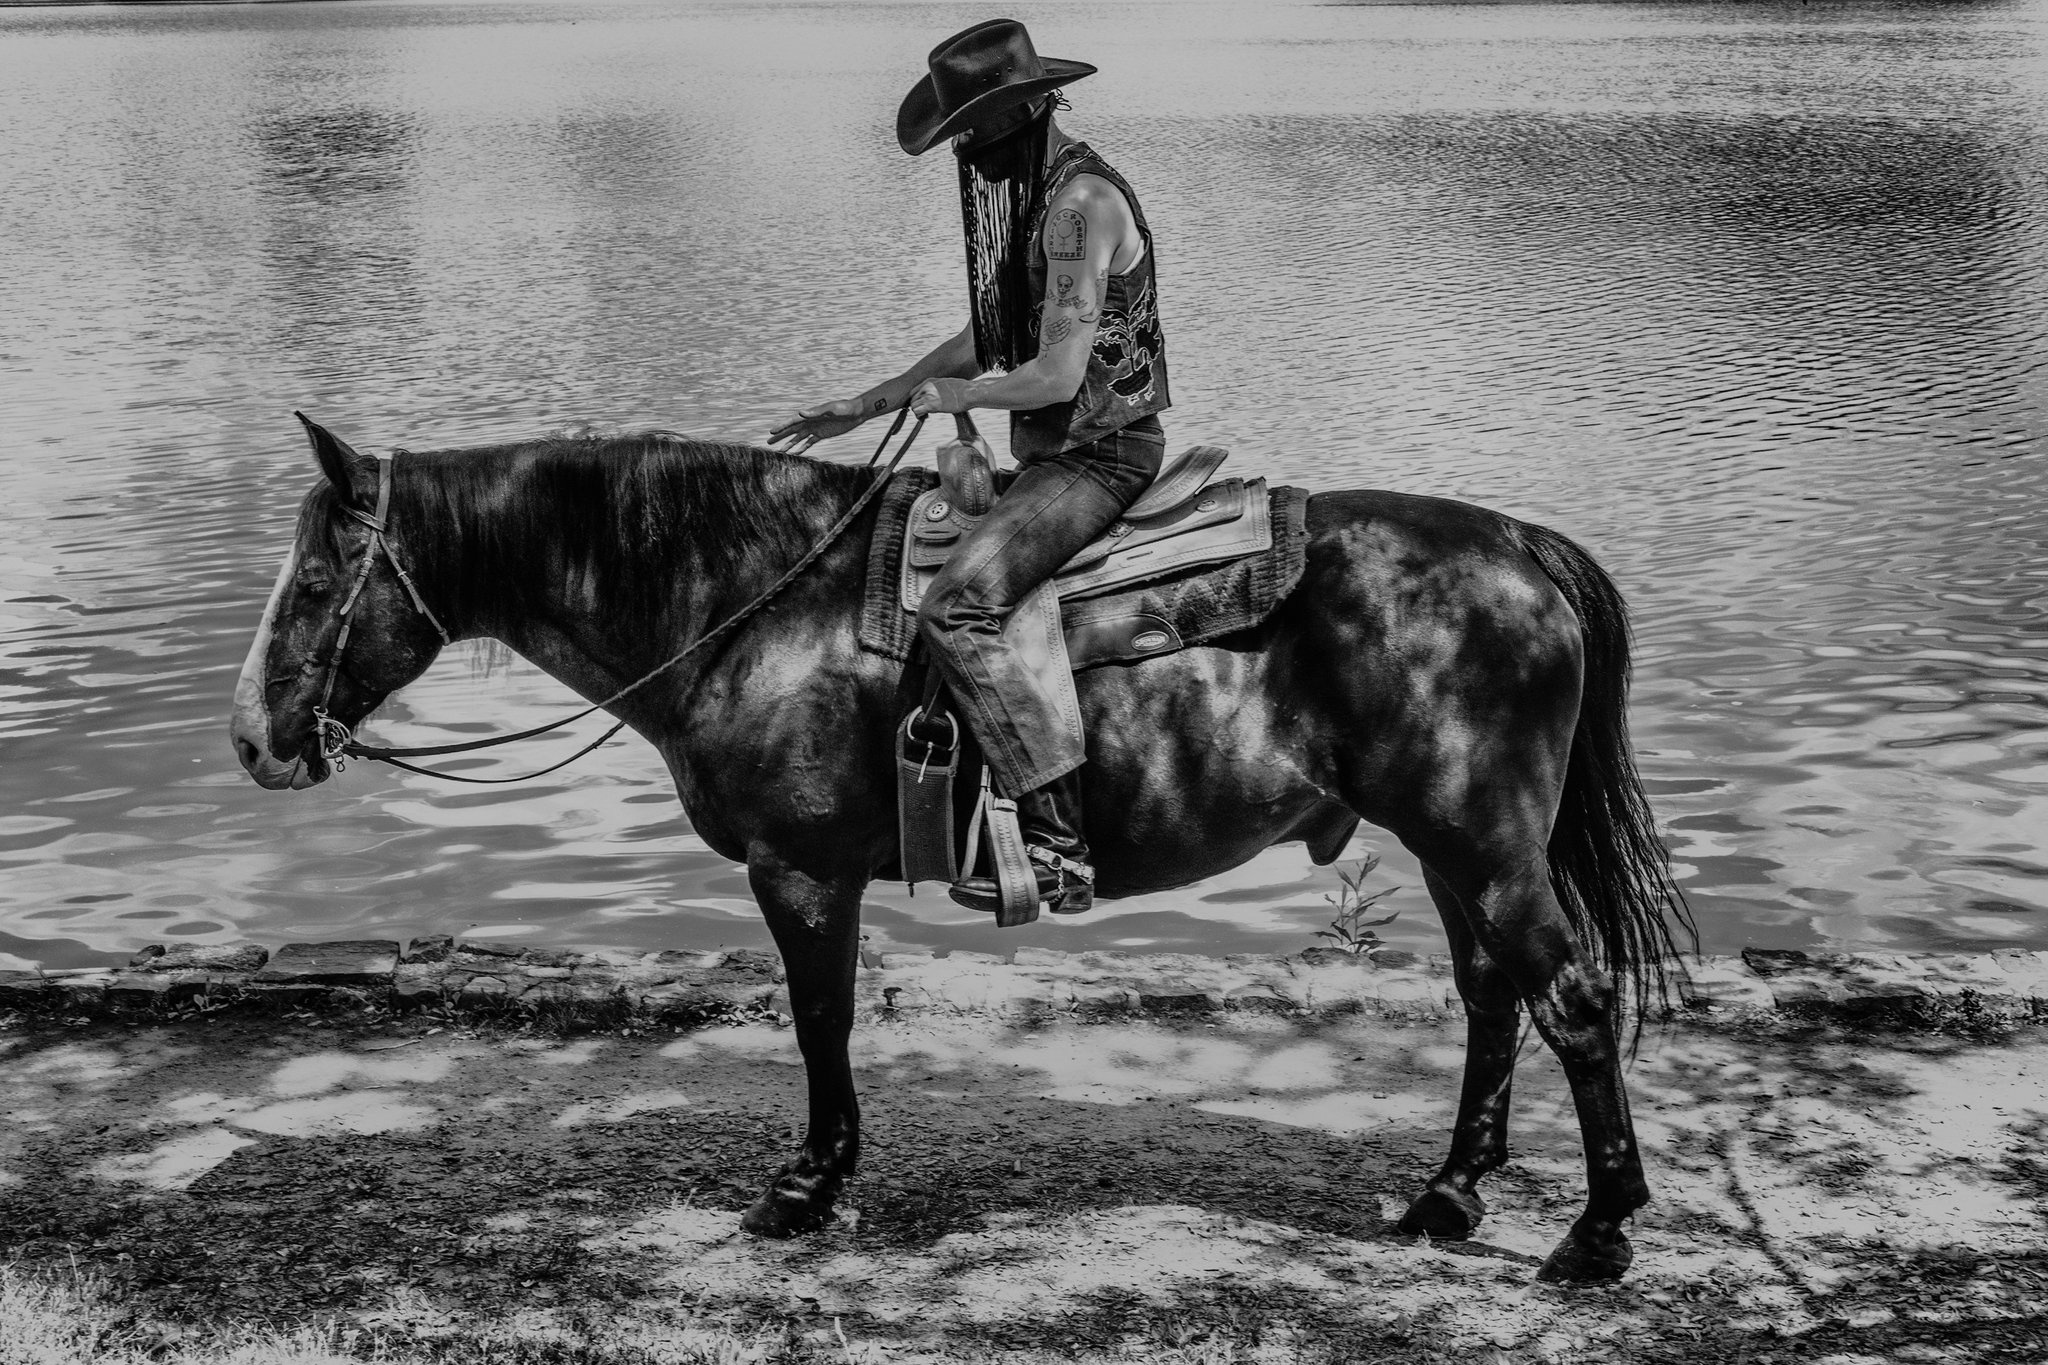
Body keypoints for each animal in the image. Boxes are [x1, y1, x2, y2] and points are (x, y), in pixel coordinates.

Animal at [232, 417, 1687, 1285]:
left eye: (319, 580)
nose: (252, 738)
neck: (751, 600)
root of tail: (1515, 547)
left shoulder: (798, 869)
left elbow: (819, 1019)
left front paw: (807, 1186)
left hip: (1483, 841)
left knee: (1572, 996)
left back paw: (1597, 1230)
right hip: (1451, 848)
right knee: (1492, 997)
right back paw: (1449, 1194)